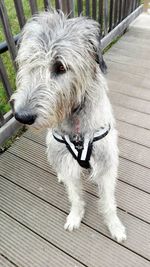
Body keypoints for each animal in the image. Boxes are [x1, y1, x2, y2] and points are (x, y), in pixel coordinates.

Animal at [11, 9, 126, 243]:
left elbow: (108, 201)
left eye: (60, 66)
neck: (77, 125)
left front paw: (115, 226)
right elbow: (74, 195)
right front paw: (75, 215)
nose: (22, 116)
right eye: (27, 62)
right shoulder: (64, 158)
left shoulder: (106, 161)